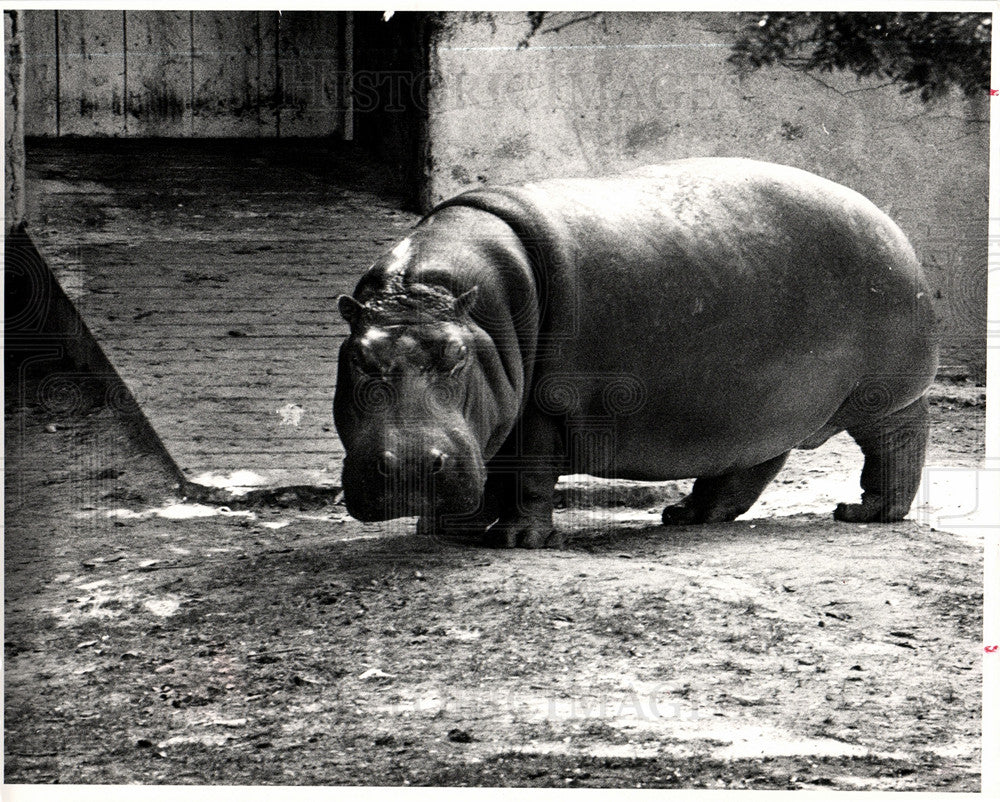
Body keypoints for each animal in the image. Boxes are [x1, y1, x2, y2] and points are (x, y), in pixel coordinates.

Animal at [334, 158, 936, 544]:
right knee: (749, 465)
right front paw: (441, 529)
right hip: (758, 403)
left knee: (897, 444)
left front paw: (516, 540)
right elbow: (494, 464)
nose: (411, 466)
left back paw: (863, 512)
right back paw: (684, 516)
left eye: (456, 358)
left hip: (887, 393)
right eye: (357, 359)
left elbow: (529, 468)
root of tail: (887, 220)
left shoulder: (547, 402)